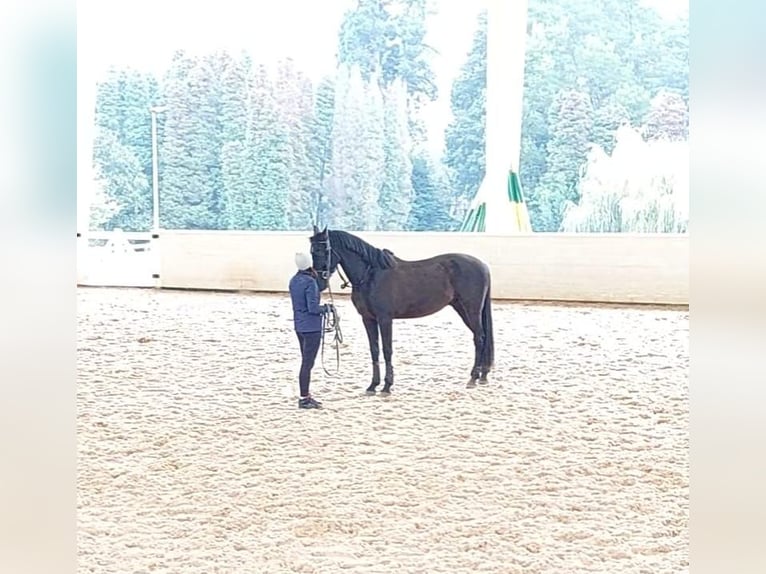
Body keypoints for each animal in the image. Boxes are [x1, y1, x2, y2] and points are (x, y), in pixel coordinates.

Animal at [308, 225, 495, 396]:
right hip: (462, 309)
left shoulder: (385, 319)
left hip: (472, 310)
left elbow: (387, 350)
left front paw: (387, 386)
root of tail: (483, 265)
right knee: (482, 337)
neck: (370, 275)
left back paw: (473, 378)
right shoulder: (368, 319)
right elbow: (374, 350)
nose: (319, 282)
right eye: (312, 251)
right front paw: (373, 385)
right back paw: (483, 375)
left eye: (324, 250)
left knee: (479, 337)